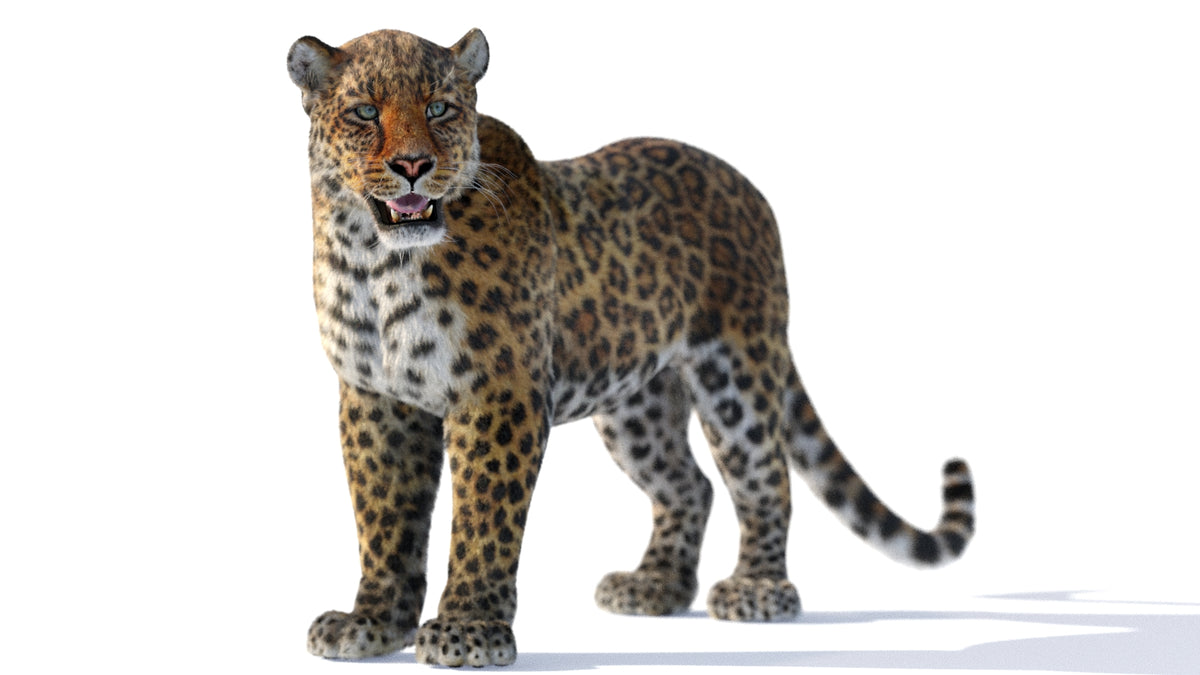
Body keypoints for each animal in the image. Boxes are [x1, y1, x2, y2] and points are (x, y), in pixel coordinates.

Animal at [287, 28, 976, 667]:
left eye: (439, 109)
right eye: (364, 112)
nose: (413, 166)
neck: (374, 260)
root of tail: (745, 186)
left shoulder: (498, 397)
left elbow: (484, 521)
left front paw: (468, 631)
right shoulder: (375, 400)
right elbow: (384, 520)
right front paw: (371, 624)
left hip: (736, 372)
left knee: (765, 477)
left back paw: (758, 589)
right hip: (635, 402)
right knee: (689, 485)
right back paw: (656, 585)